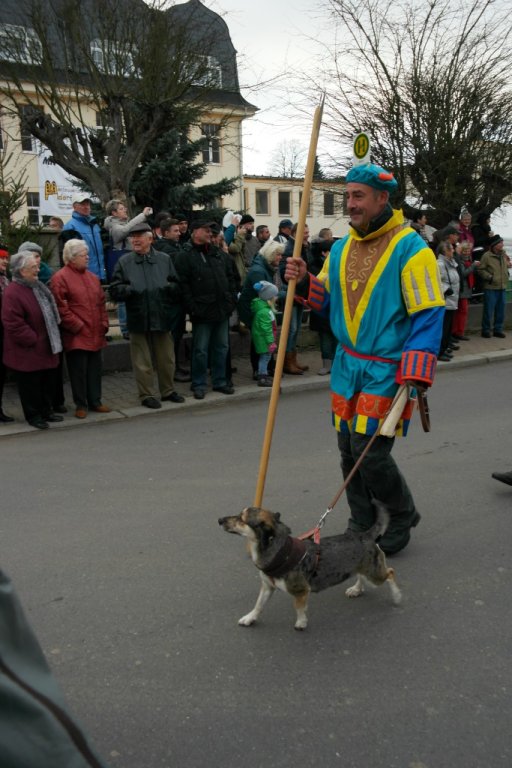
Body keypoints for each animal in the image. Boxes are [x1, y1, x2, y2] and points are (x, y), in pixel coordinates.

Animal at [218, 500, 401, 630]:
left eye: (241, 519)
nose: (219, 520)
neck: (279, 551)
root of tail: (365, 535)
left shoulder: (301, 590)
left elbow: (298, 607)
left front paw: (301, 622)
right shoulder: (267, 586)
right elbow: (258, 605)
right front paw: (250, 618)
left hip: (375, 575)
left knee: (390, 573)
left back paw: (397, 596)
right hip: (365, 568)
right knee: (361, 575)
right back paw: (356, 589)